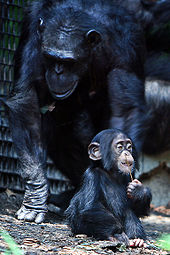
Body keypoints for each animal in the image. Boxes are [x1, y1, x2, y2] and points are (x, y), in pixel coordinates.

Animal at [5, 0, 146, 223]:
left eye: (69, 62)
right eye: (50, 58)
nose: (58, 72)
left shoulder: (127, 45)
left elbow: (125, 110)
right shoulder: (33, 32)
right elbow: (26, 99)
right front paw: (36, 197)